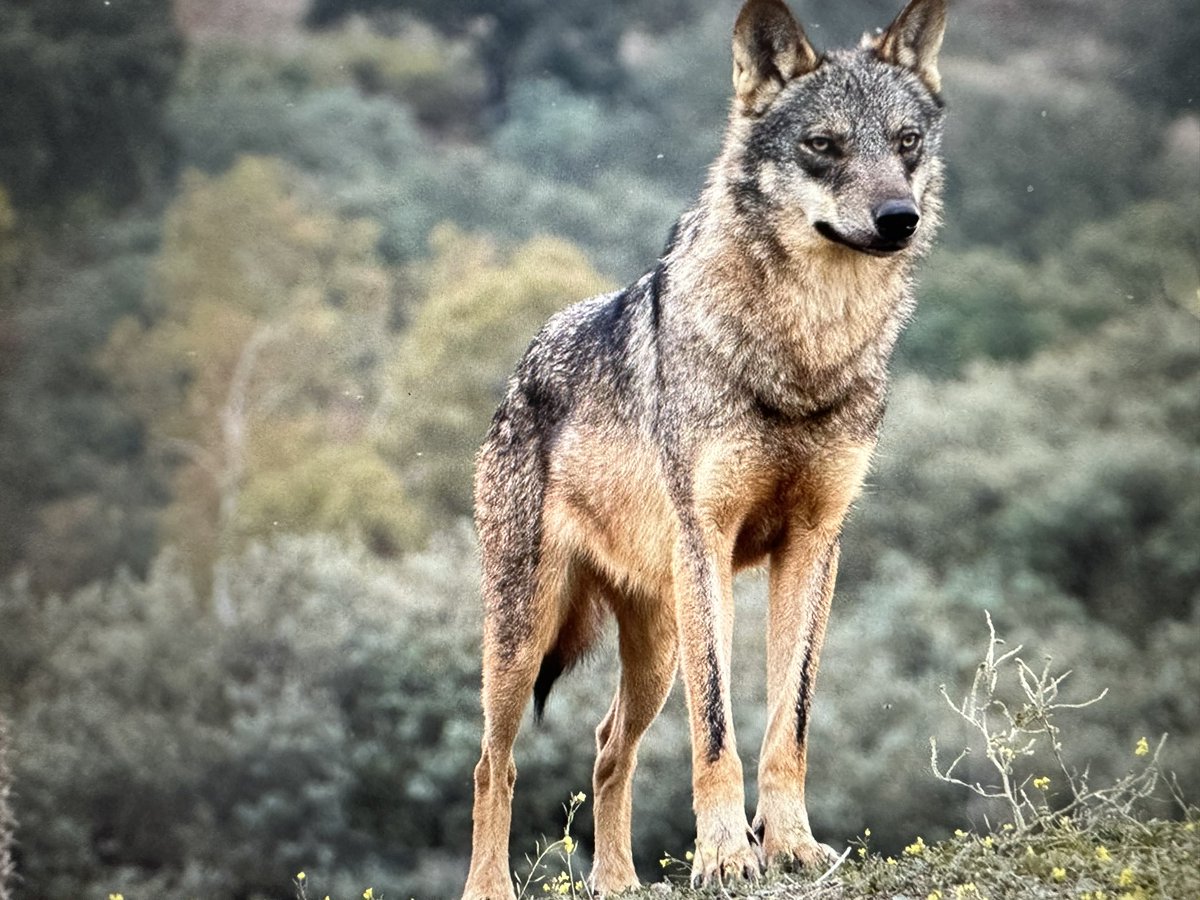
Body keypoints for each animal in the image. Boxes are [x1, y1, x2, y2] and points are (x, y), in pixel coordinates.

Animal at [462, 0, 948, 895]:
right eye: (823, 144)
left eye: (905, 142)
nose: (900, 218)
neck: (802, 355)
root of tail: (520, 367)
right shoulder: (708, 544)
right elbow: (717, 729)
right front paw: (725, 855)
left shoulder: (815, 546)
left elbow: (789, 722)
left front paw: (790, 847)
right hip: (527, 636)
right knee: (492, 762)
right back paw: (489, 886)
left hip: (655, 650)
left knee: (607, 747)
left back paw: (617, 883)